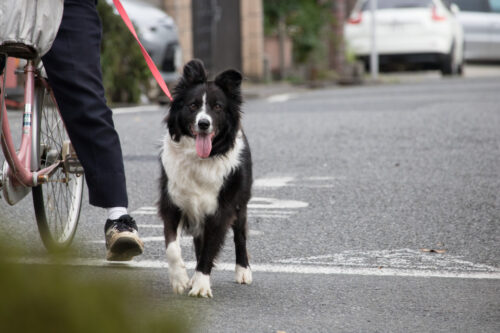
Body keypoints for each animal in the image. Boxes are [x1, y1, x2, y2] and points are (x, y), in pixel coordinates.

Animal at [159, 59, 254, 296]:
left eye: (218, 107)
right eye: (193, 106)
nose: (203, 123)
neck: (200, 158)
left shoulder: (221, 208)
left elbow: (210, 248)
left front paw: (201, 285)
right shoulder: (172, 201)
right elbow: (172, 246)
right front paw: (181, 279)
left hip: (241, 200)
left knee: (240, 235)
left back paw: (243, 271)